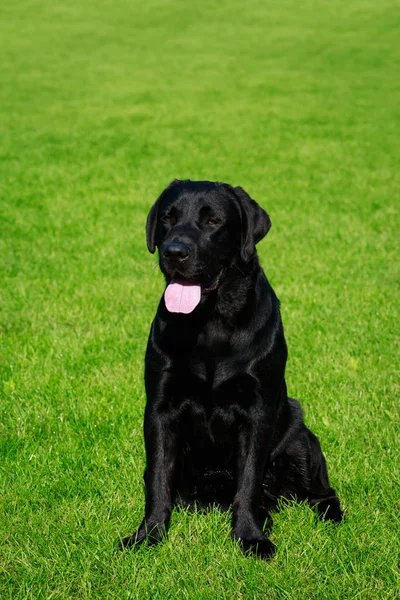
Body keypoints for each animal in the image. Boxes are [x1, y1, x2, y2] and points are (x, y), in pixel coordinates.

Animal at [120, 178, 342, 556]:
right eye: (167, 218)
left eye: (212, 221)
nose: (174, 252)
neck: (210, 322)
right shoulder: (161, 409)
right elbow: (159, 479)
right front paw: (148, 535)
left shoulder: (257, 411)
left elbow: (249, 479)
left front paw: (250, 537)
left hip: (301, 439)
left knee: (320, 493)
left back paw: (329, 516)